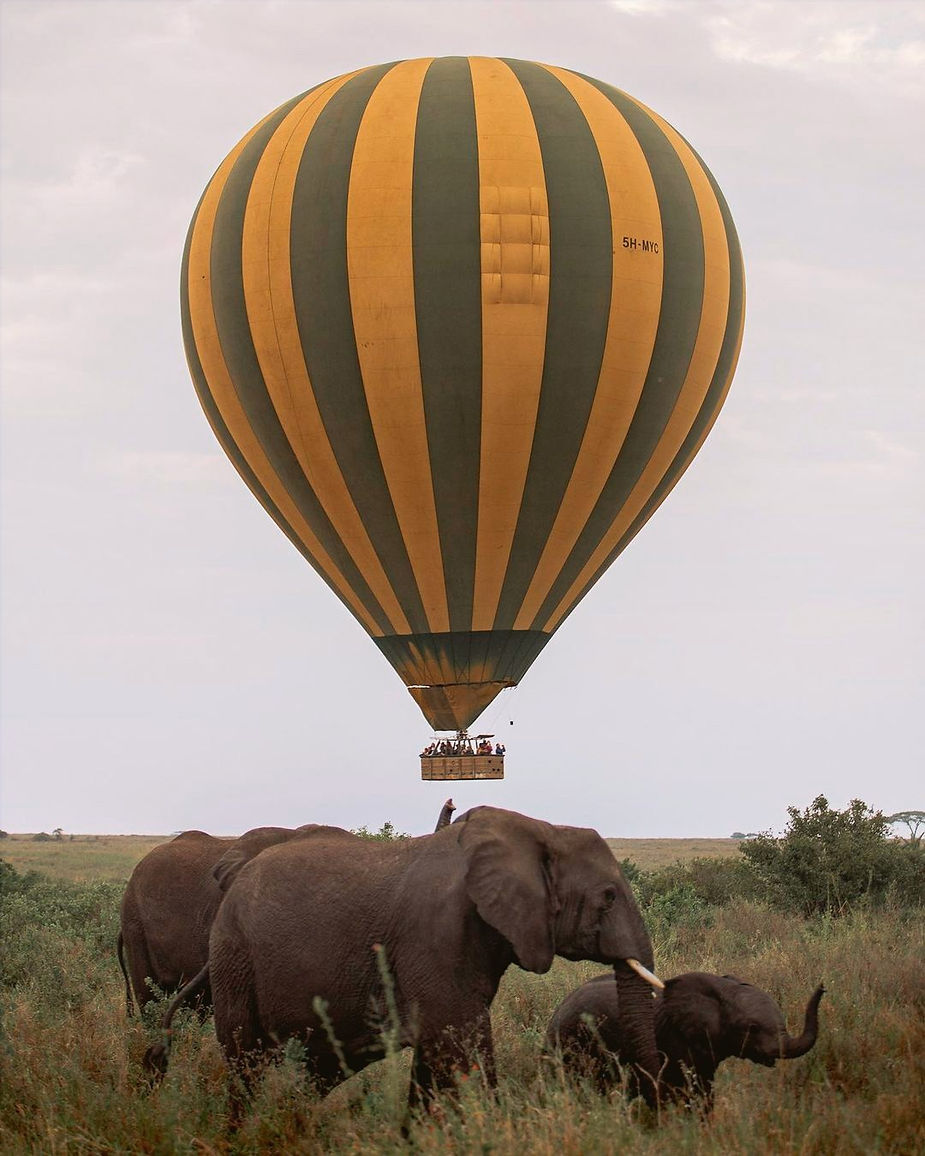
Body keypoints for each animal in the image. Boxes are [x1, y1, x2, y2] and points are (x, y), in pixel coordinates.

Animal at [197, 806, 662, 1121]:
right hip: (233, 953)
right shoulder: (434, 933)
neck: (537, 829)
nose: (651, 1107)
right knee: (245, 1058)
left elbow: (439, 1049)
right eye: (608, 897)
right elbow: (458, 1043)